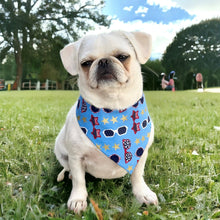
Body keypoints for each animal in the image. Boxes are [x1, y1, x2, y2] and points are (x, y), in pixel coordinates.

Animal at [54, 30, 158, 213]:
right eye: (86, 63)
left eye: (123, 56)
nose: (103, 61)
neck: (112, 108)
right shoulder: (76, 157)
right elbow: (79, 181)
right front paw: (77, 199)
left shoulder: (141, 154)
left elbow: (138, 175)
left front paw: (142, 193)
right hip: (59, 149)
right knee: (67, 167)